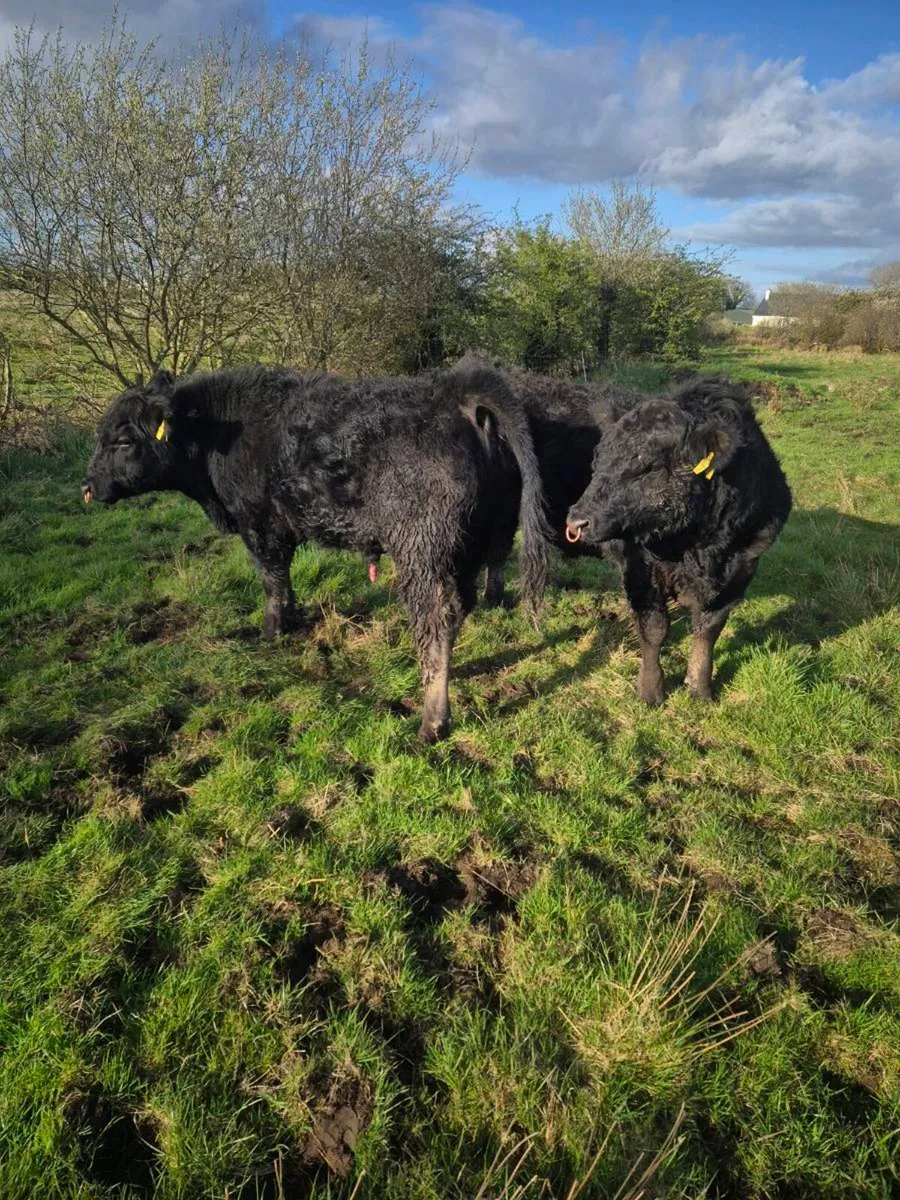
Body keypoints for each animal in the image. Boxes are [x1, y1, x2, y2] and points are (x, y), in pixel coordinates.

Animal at [81, 363, 550, 741]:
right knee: (463, 605)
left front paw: (273, 630)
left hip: (422, 548)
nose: (87, 486)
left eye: (122, 440)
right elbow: (283, 579)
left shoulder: (259, 524)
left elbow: (272, 579)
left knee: (437, 617)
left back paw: (432, 721)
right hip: (473, 543)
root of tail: (457, 394)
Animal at [452, 357, 792, 704]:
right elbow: (654, 627)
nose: (577, 521)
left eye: (650, 467)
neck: (700, 547)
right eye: (598, 459)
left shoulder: (743, 565)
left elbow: (709, 629)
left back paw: (495, 598)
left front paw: (699, 688)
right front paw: (651, 691)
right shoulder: (637, 564)